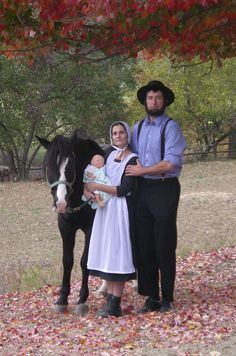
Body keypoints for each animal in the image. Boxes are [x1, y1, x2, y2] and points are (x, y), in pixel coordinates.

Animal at [36, 129, 105, 312]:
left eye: (70, 165)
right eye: (48, 165)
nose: (60, 203)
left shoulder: (91, 229)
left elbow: (84, 261)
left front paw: (82, 298)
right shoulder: (65, 228)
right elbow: (67, 261)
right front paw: (62, 298)